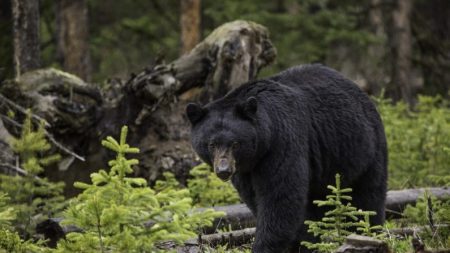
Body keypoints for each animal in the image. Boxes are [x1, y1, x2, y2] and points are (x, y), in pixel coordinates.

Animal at [186, 64, 386, 252]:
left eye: (235, 143)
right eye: (211, 144)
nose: (224, 170)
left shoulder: (282, 143)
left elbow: (280, 198)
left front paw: (265, 246)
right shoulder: (245, 170)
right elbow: (255, 198)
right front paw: (302, 241)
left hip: (364, 149)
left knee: (368, 197)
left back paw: (368, 231)